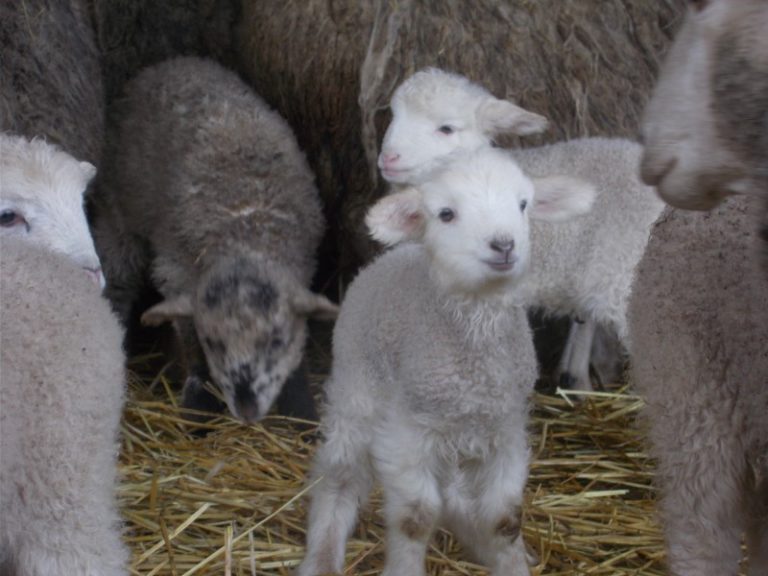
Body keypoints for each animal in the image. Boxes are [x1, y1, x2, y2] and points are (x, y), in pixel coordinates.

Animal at [92, 56, 338, 424]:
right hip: (118, 209)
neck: (246, 235)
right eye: (214, 343)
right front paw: (199, 407)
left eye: (276, 341)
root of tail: (173, 62)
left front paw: (301, 411)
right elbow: (191, 345)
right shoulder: (176, 270)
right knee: (118, 280)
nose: (247, 408)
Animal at [297, 147, 596, 576]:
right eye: (446, 214)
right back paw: (321, 557)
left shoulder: (505, 430)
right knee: (340, 473)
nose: (503, 244)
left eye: (523, 204)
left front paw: (511, 561)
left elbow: (505, 519)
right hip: (357, 391)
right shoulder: (407, 433)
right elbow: (416, 518)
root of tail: (400, 250)